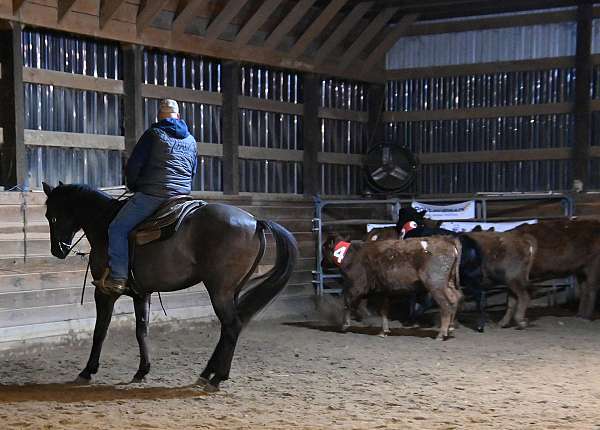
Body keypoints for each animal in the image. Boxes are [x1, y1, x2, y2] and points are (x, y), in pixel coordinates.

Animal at [42, 183, 298, 392]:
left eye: (51, 216)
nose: (58, 250)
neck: (104, 224)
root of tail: (256, 223)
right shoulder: (141, 293)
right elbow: (141, 331)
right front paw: (142, 371)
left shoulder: (105, 292)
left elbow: (100, 331)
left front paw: (87, 371)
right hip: (232, 291)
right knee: (229, 328)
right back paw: (206, 374)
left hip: (220, 291)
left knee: (232, 326)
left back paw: (217, 378)